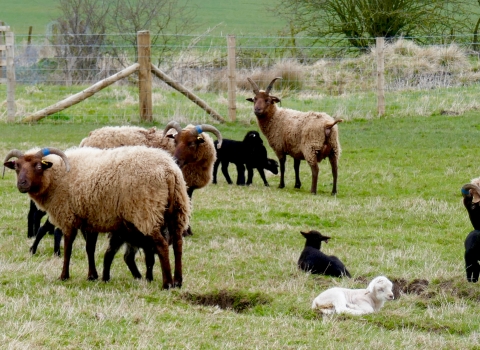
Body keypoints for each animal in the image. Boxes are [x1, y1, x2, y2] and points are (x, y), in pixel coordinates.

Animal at [5, 145, 191, 288]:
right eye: (17, 167)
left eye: (38, 166)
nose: (21, 184)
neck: (56, 177)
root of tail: (168, 170)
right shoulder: (92, 219)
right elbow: (90, 249)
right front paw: (92, 276)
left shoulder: (69, 217)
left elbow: (68, 248)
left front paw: (64, 276)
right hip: (178, 210)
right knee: (178, 244)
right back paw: (178, 281)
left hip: (146, 211)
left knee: (162, 245)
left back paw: (167, 283)